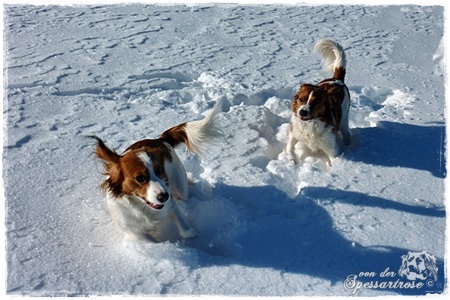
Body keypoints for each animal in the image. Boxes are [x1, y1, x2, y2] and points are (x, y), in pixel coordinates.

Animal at [91, 101, 221, 241]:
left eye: (159, 169)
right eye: (140, 178)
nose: (164, 196)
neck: (142, 207)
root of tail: (160, 139)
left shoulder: (171, 204)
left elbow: (184, 227)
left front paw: (192, 234)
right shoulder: (135, 232)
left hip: (181, 187)